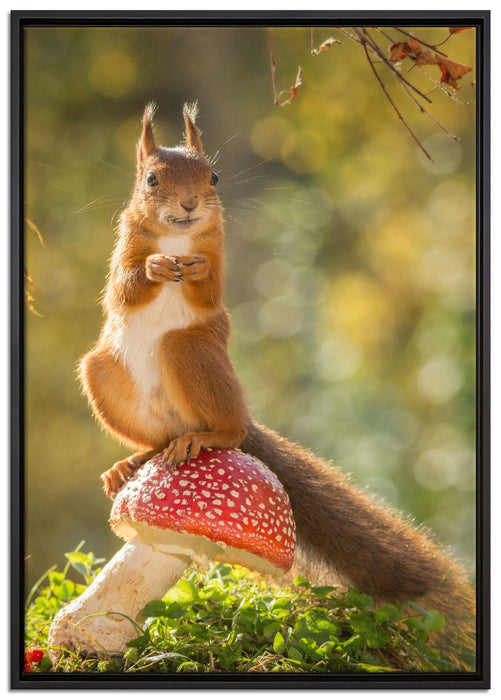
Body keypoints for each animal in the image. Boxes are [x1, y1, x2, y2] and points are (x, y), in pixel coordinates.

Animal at [79, 103, 475, 670]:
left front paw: (194, 269)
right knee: (156, 439)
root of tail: (197, 424)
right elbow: (125, 286)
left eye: (213, 177)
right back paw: (131, 463)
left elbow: (209, 288)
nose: (189, 204)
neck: (177, 240)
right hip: (103, 373)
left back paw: (210, 437)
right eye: (151, 179)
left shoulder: (217, 254)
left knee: (225, 424)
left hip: (192, 353)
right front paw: (155, 267)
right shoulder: (124, 247)